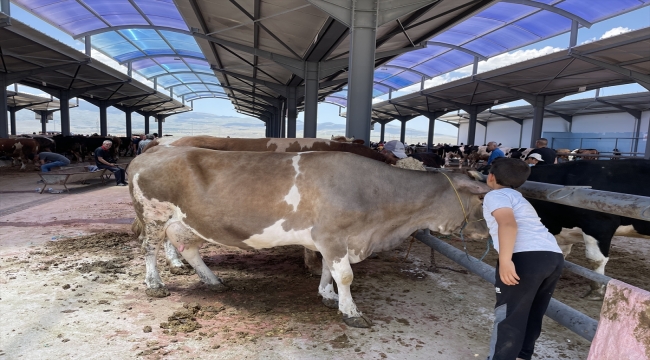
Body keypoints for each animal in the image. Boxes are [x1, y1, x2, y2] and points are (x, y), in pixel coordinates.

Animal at [129, 146, 488, 326]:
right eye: (481, 200)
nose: (484, 233)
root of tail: (148, 153)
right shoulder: (334, 235)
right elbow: (346, 275)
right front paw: (351, 312)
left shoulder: (333, 240)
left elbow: (329, 269)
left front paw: (327, 295)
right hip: (154, 215)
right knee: (149, 248)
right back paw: (154, 284)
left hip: (189, 222)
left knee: (188, 248)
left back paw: (212, 280)